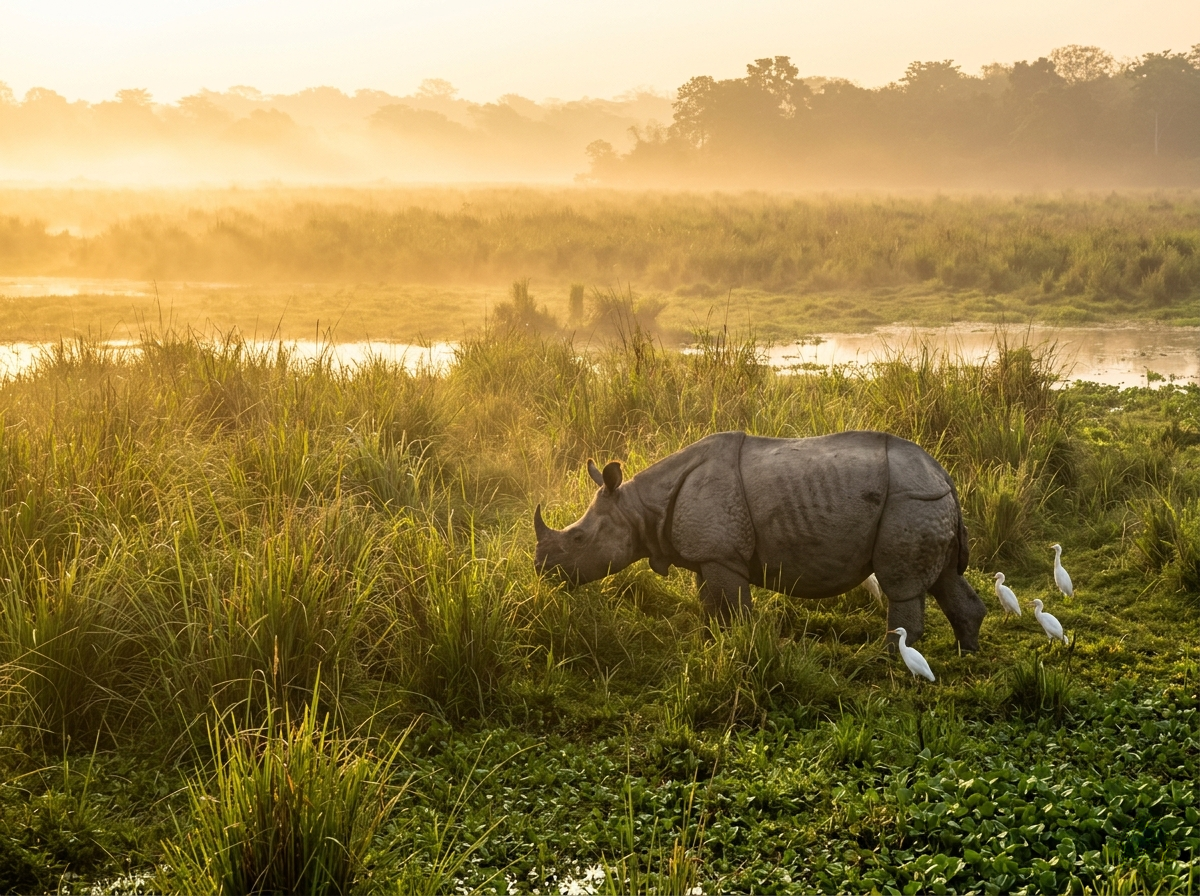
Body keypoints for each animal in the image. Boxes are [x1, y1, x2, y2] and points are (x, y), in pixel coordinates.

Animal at [534, 430, 986, 651]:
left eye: (577, 538)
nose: (542, 572)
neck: (639, 506)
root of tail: (943, 475)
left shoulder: (723, 554)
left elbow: (734, 608)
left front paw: (739, 642)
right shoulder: (710, 554)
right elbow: (709, 603)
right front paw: (712, 641)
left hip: (907, 500)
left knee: (902, 585)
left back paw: (887, 657)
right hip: (925, 501)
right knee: (945, 577)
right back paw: (967, 650)